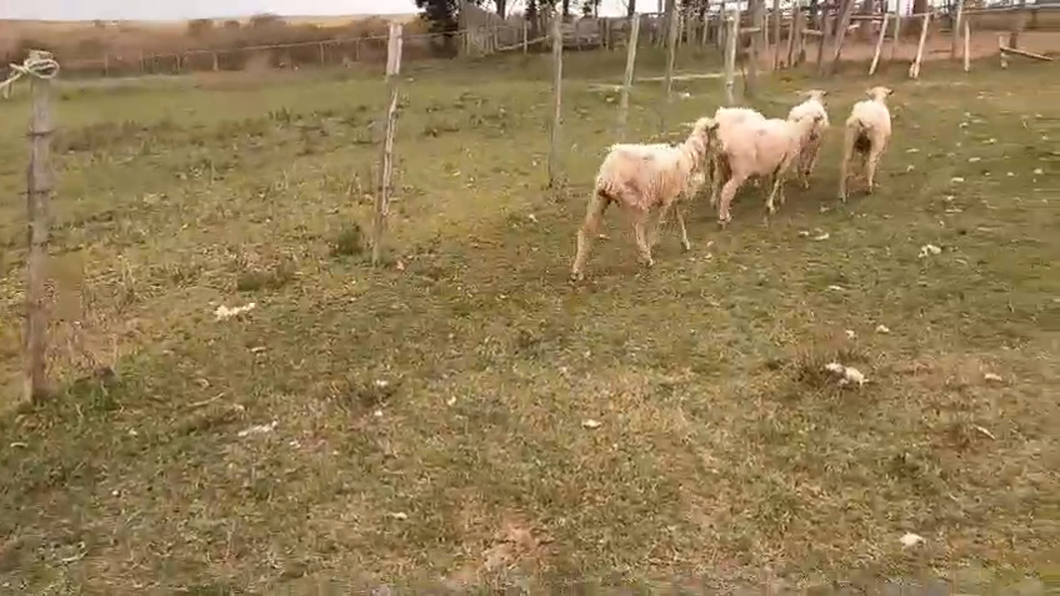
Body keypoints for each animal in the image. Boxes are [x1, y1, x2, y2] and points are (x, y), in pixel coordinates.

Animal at [572, 118, 720, 282]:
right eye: (715, 130)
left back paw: (577, 271)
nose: (722, 146)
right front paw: (653, 246)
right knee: (638, 234)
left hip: (599, 198)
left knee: (585, 231)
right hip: (636, 202)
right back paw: (647, 259)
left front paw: (685, 243)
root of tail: (607, 173)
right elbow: (658, 226)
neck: (690, 155)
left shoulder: (673, 198)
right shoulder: (667, 199)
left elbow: (679, 219)